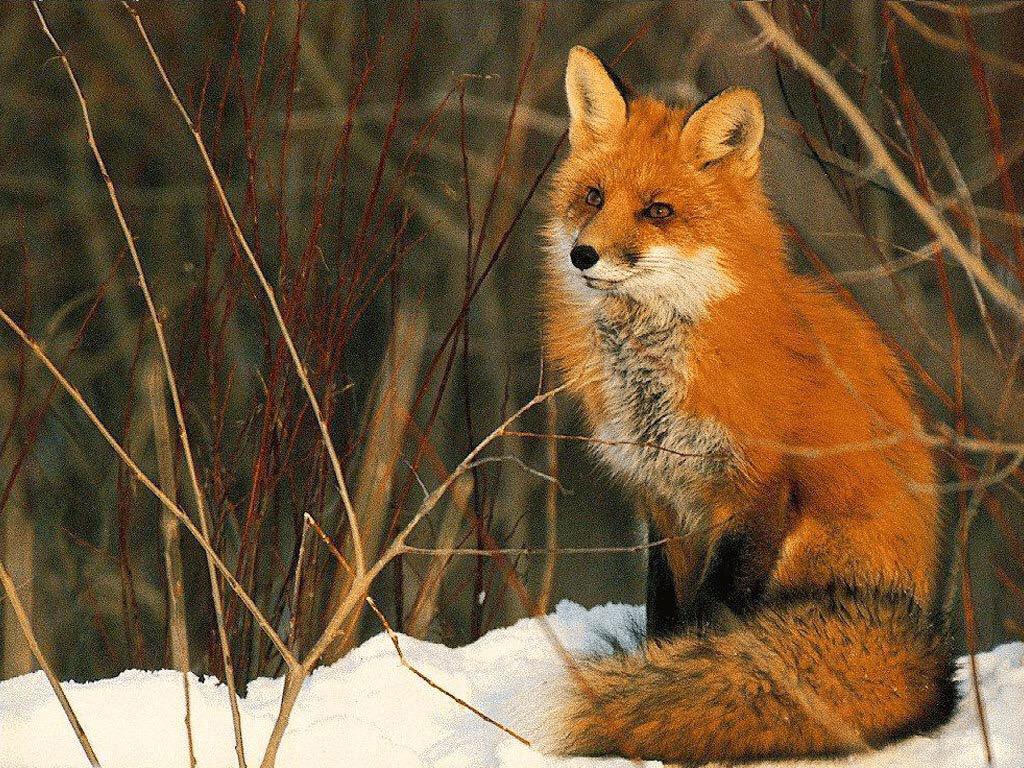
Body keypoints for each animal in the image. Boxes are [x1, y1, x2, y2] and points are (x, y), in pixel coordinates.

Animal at [539, 46, 957, 763]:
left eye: (658, 211)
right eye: (592, 197)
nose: (582, 254)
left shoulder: (756, 491)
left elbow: (710, 620)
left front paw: (669, 694)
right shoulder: (665, 500)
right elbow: (668, 619)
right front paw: (657, 680)